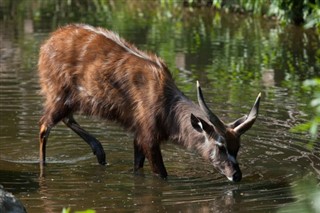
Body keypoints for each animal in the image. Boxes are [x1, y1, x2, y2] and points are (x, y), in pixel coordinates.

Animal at [38, 23, 262, 181]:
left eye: (237, 147)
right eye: (220, 145)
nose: (236, 175)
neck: (166, 109)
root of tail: (45, 45)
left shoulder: (138, 135)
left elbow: (137, 167)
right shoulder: (148, 136)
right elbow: (161, 174)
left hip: (71, 100)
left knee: (66, 118)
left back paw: (100, 153)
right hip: (58, 93)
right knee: (44, 127)